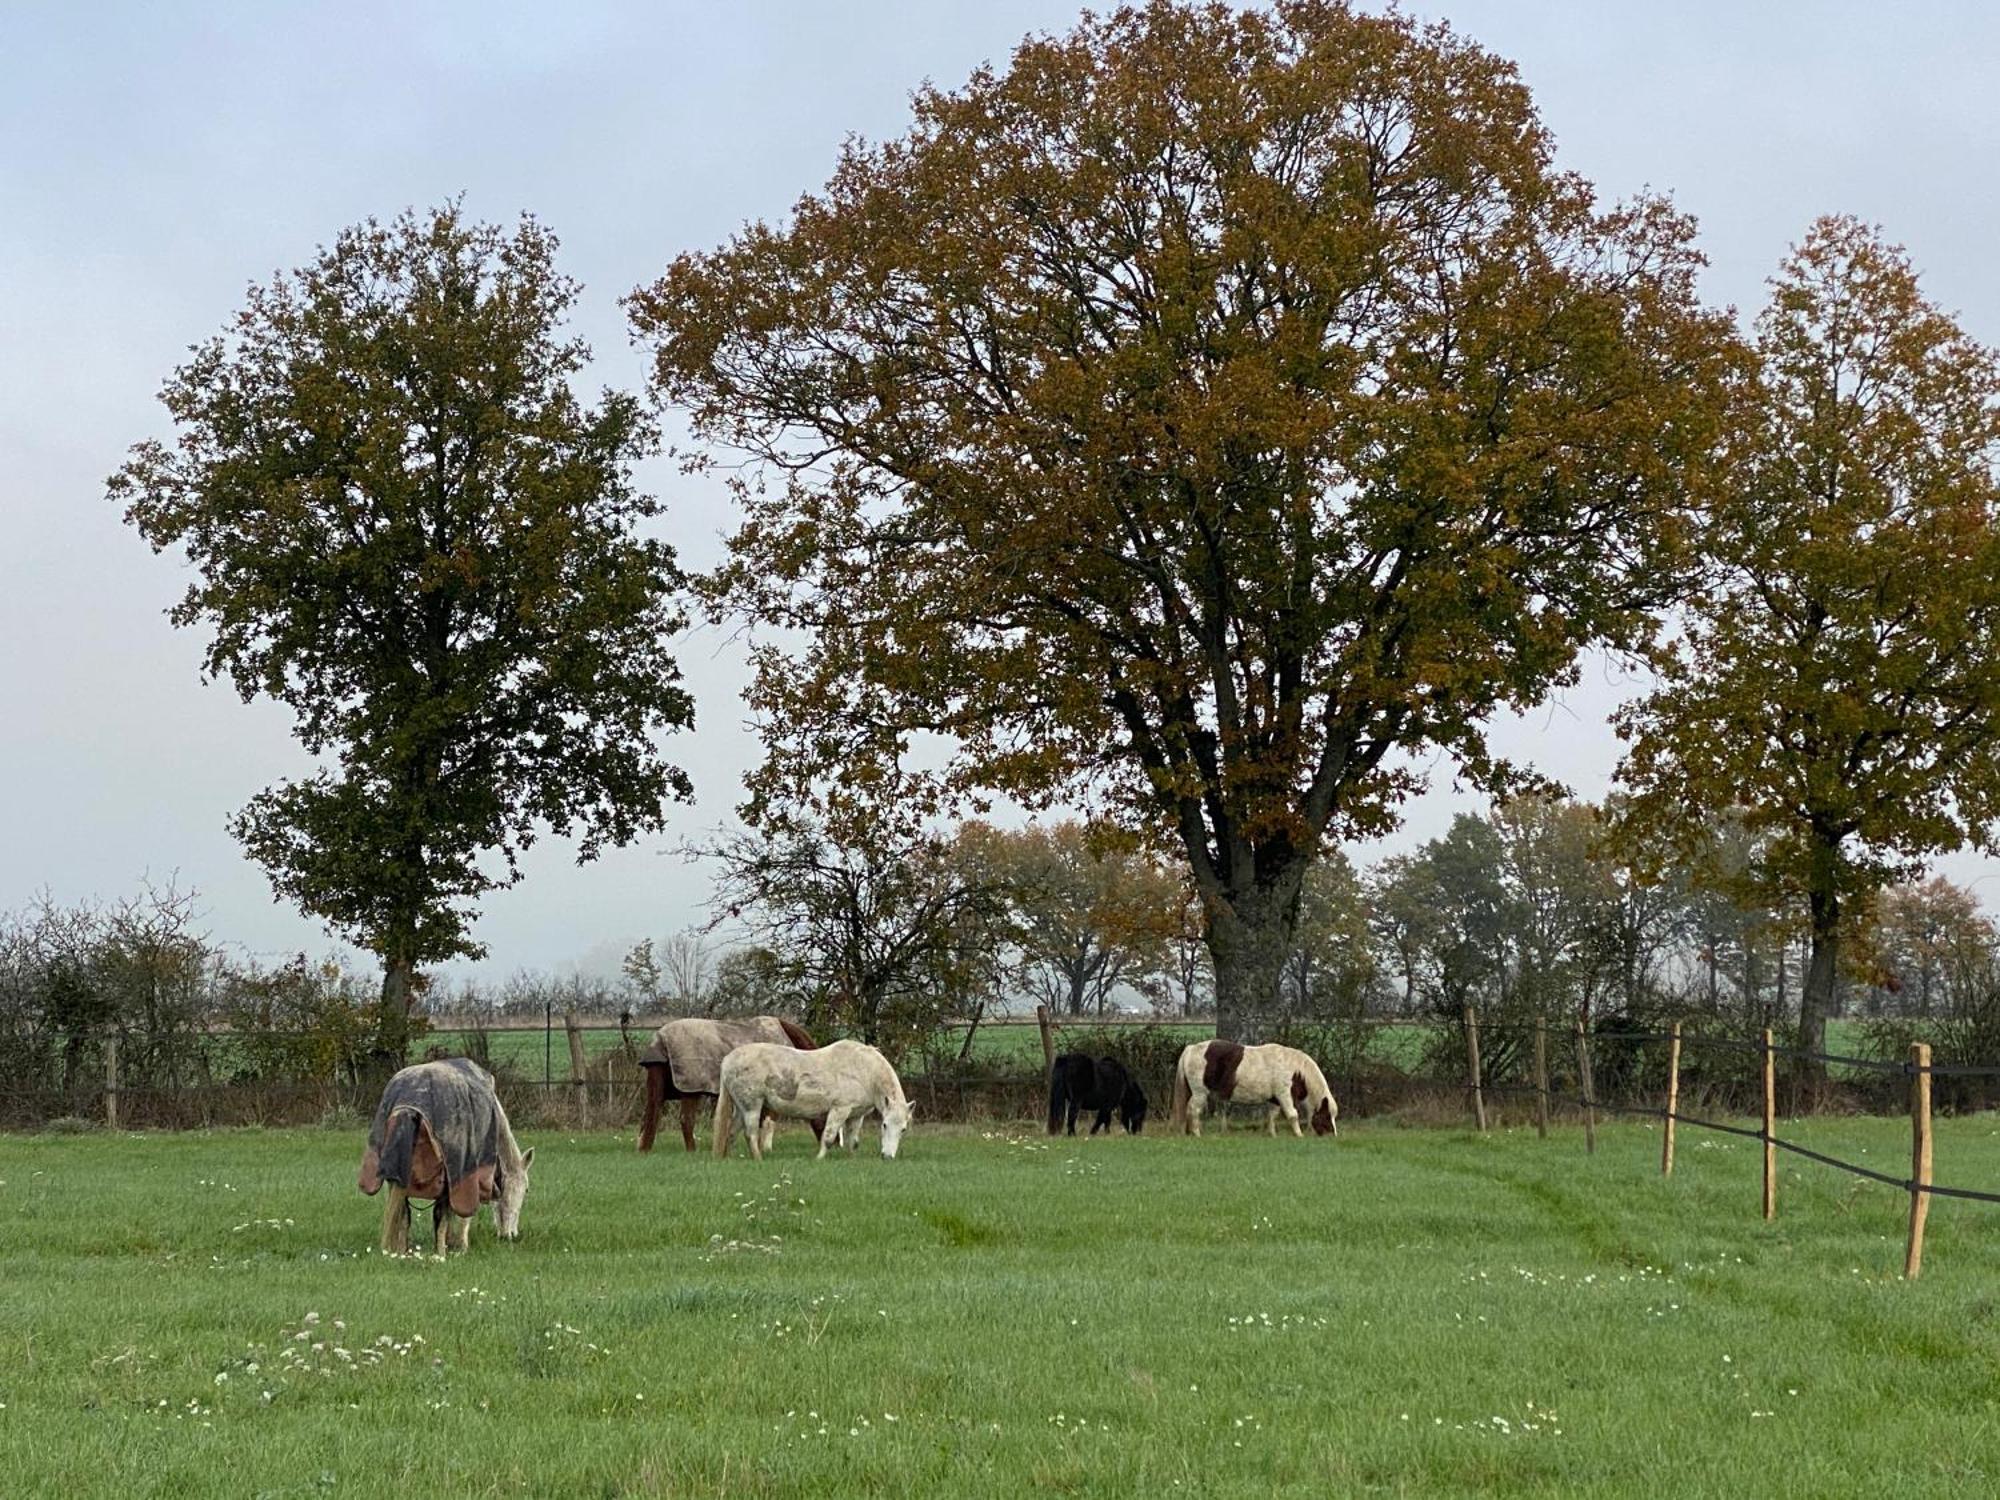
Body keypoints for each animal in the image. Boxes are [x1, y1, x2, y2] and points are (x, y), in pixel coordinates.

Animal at [358, 1056, 532, 1256]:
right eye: (526, 1190)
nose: (510, 1235)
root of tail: (409, 1106)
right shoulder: (467, 1174)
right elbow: (461, 1215)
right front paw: (461, 1246)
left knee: (403, 1214)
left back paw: (403, 1251)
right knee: (438, 1216)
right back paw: (440, 1252)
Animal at [632, 1016, 812, 1160]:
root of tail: (660, 1039)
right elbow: (768, 1122)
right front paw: (765, 1149)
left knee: (649, 1117)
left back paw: (644, 1149)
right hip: (689, 1091)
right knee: (685, 1120)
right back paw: (692, 1151)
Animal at [712, 1048, 916, 1160]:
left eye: (904, 1129)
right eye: (884, 1125)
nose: (887, 1157)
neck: (865, 1070)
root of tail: (728, 1059)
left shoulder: (856, 1115)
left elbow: (853, 1142)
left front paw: (852, 1159)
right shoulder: (839, 1109)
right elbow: (828, 1137)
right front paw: (819, 1159)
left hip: (741, 1108)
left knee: (731, 1132)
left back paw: (728, 1158)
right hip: (752, 1106)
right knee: (751, 1134)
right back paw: (759, 1159)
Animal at [1168, 1040, 1336, 1144]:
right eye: (1327, 1116)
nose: (1333, 1136)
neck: (1295, 1070)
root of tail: (1190, 1049)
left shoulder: (1274, 1100)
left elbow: (1272, 1116)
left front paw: (1273, 1135)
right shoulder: (1284, 1096)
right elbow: (1293, 1115)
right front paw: (1299, 1135)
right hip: (1200, 1093)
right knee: (1193, 1110)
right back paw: (1197, 1134)